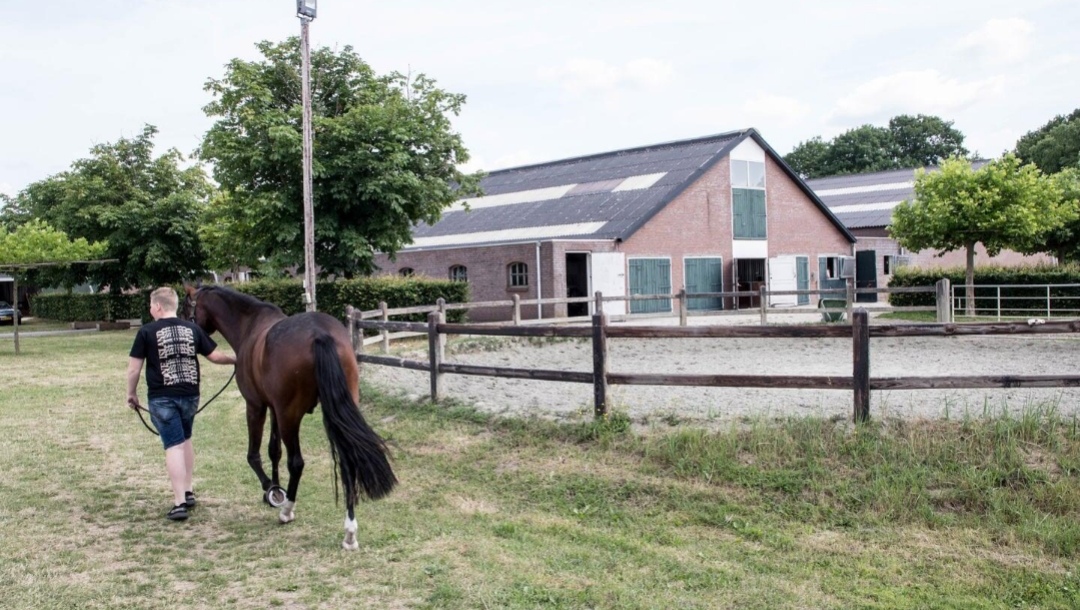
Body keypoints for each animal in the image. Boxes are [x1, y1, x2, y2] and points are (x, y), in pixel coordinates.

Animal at [183, 285, 396, 550]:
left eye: (186, 307)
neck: (250, 326)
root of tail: (319, 334)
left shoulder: (256, 406)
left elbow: (254, 455)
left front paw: (273, 492)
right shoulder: (274, 409)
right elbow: (274, 450)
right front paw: (274, 488)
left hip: (289, 417)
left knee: (297, 463)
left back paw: (287, 511)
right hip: (334, 411)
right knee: (347, 462)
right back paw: (350, 532)